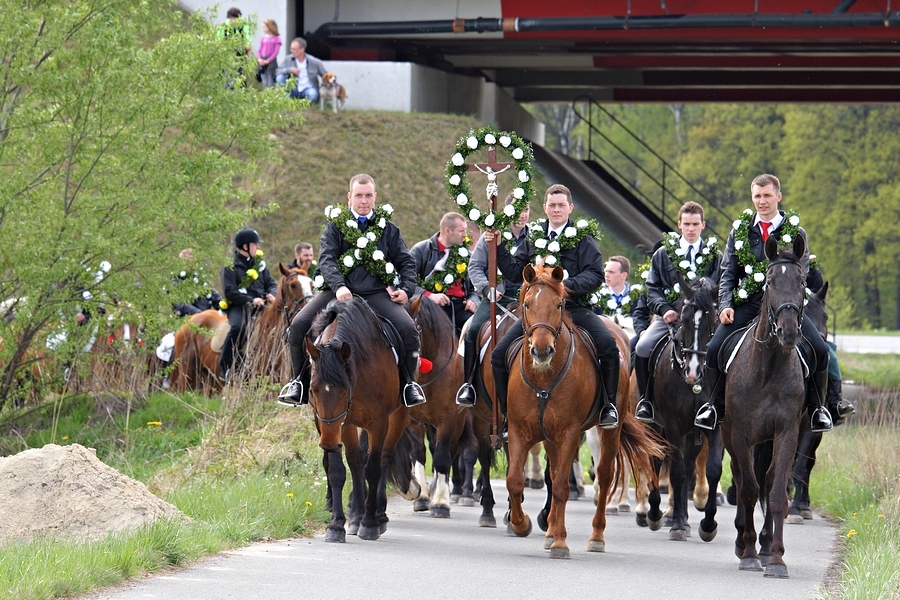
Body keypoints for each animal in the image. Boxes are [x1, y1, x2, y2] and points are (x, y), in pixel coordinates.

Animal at [170, 264, 312, 392]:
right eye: (293, 285)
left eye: (311, 284)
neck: (269, 332)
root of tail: (189, 321)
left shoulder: (273, 381)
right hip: (187, 374)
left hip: (210, 380)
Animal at [304, 296, 414, 544]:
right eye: (313, 389)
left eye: (345, 390)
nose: (328, 443)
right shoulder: (342, 423)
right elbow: (342, 469)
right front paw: (337, 525)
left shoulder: (378, 422)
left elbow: (373, 468)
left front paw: (370, 524)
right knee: (357, 463)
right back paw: (356, 515)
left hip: (397, 417)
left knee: (385, 458)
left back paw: (378, 516)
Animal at [502, 266, 664, 556]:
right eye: (527, 304)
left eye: (559, 304)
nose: (541, 351)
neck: (544, 377)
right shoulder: (520, 431)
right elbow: (515, 481)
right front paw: (521, 524)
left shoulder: (570, 432)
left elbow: (562, 488)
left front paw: (560, 541)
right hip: (551, 436)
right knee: (554, 473)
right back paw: (549, 531)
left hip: (610, 429)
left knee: (605, 475)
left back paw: (596, 536)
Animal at [648, 276, 724, 544]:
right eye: (685, 319)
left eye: (712, 320)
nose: (692, 371)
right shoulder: (672, 426)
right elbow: (678, 472)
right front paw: (678, 524)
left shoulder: (714, 423)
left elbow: (712, 469)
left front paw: (708, 524)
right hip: (655, 425)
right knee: (656, 460)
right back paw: (656, 514)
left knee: (689, 464)